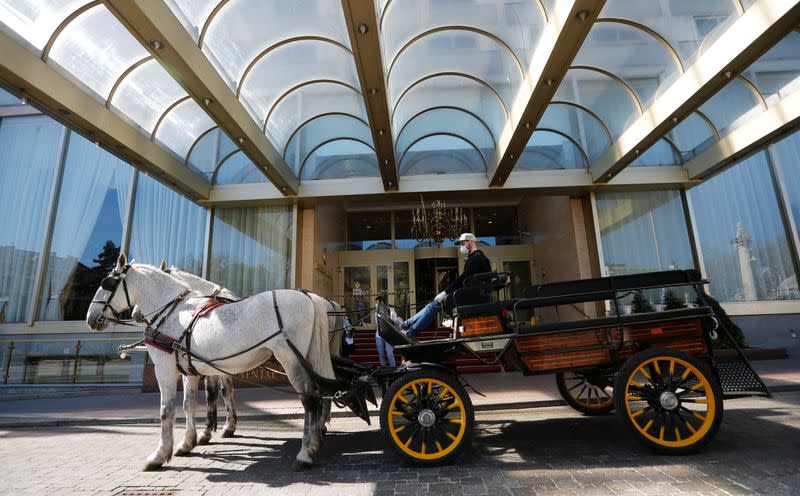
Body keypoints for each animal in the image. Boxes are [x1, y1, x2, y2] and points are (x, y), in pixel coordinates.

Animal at [86, 256, 334, 468]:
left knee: (310, 399)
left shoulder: (166, 369)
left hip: (290, 359)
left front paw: (160, 454)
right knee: (320, 394)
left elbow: (168, 409)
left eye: (107, 284)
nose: (91, 318)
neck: (174, 311)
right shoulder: (191, 369)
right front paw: (189, 441)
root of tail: (309, 297)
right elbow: (190, 403)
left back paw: (306, 453)